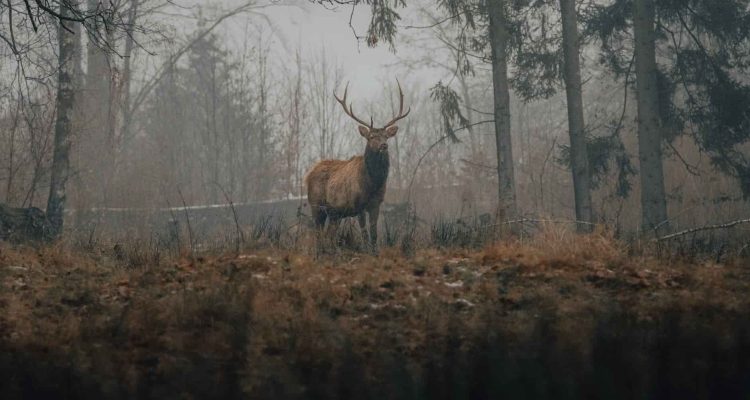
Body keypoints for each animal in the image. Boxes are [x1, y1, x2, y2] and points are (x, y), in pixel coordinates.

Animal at [304, 79, 412, 252]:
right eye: (371, 136)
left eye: (386, 136)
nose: (384, 145)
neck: (372, 184)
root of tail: (308, 174)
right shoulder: (358, 204)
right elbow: (364, 232)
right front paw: (367, 251)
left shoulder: (376, 204)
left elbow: (374, 232)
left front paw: (375, 252)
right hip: (316, 205)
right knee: (318, 233)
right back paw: (319, 253)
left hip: (334, 213)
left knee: (329, 234)